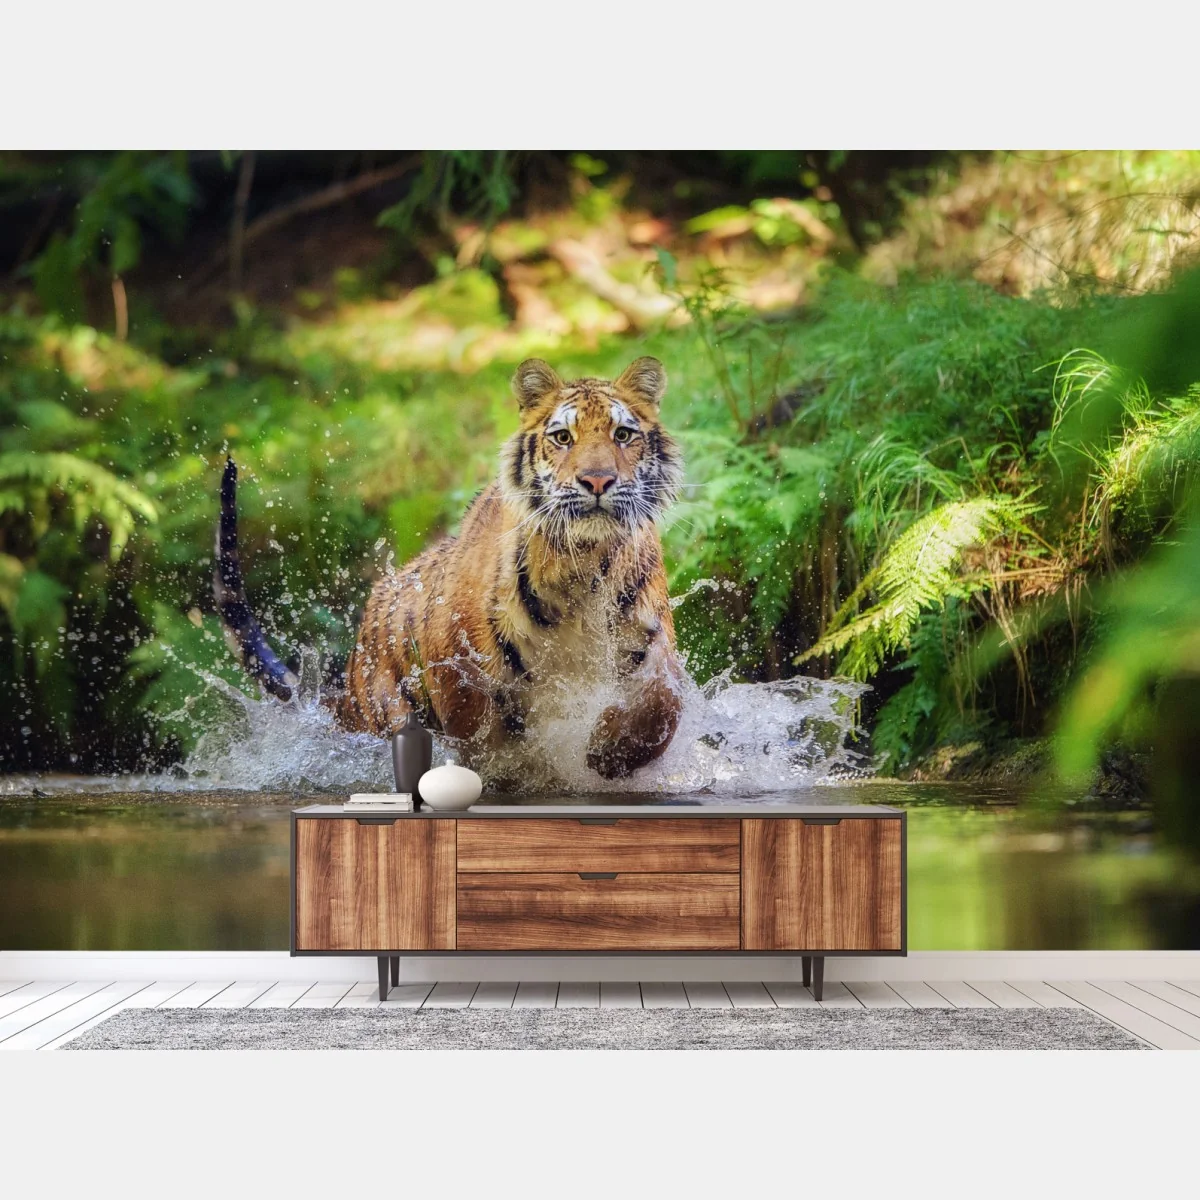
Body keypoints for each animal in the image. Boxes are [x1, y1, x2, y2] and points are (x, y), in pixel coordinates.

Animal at [215, 356, 686, 781]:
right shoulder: (460, 673)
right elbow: (487, 743)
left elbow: (664, 702)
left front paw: (609, 751)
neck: (581, 566)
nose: (598, 481)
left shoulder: (651, 640)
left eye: (622, 434)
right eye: (563, 437)